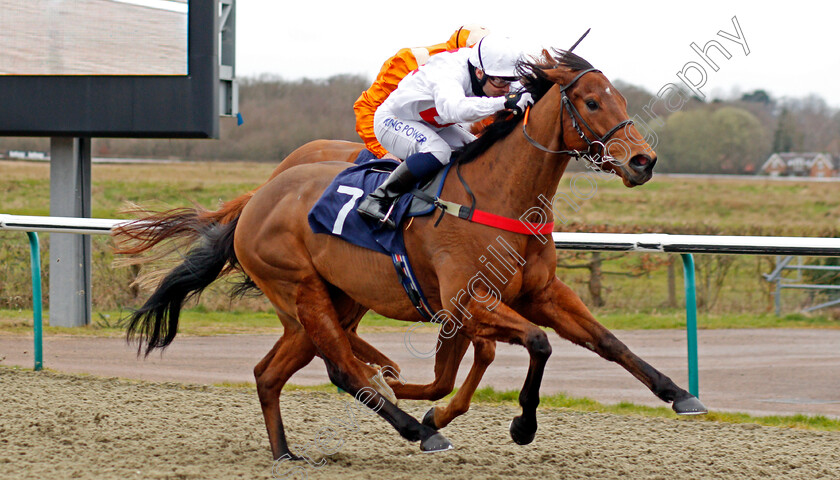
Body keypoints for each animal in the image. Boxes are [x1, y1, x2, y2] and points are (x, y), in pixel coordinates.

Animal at [115, 50, 704, 460]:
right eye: (591, 102)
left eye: (621, 98)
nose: (643, 161)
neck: (500, 197)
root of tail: (259, 196)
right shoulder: (469, 302)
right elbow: (536, 344)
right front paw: (519, 425)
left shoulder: (540, 293)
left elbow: (607, 342)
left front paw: (678, 393)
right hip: (302, 291)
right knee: (341, 369)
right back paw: (417, 428)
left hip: (335, 300)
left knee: (270, 372)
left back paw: (287, 452)